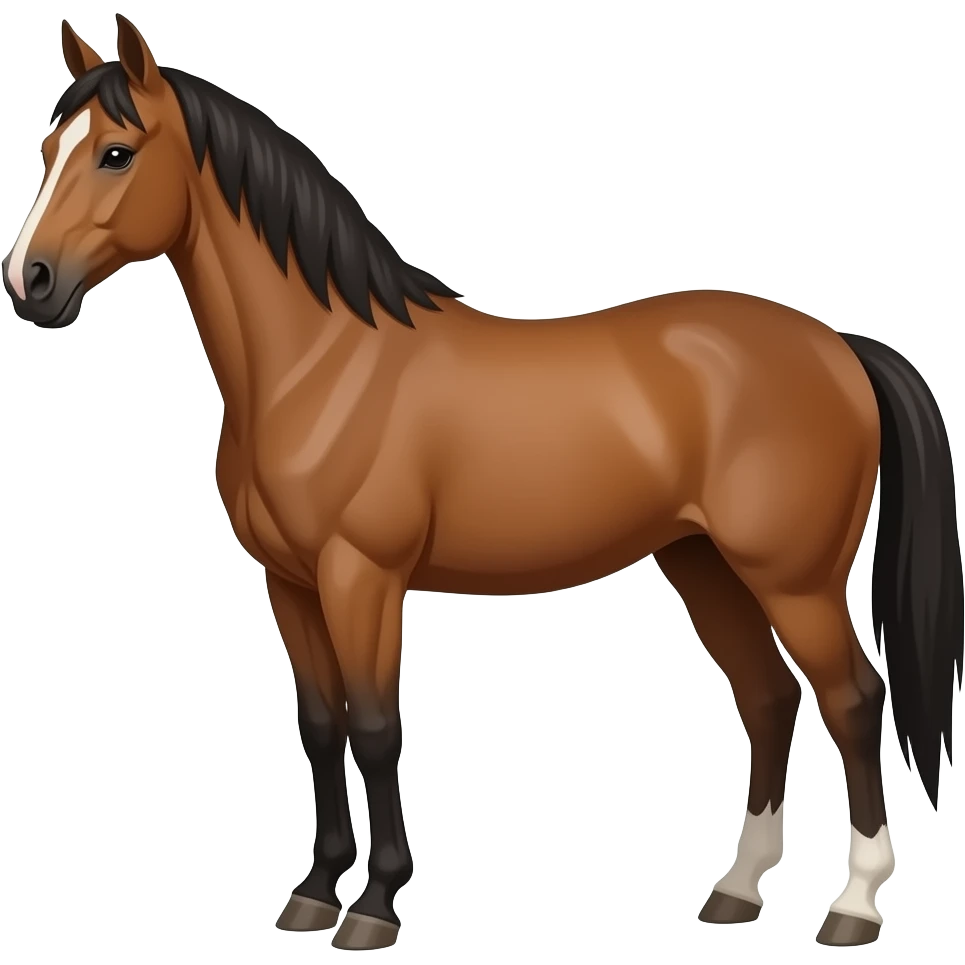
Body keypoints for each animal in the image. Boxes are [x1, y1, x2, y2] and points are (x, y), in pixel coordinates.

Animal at [4, 15, 961, 951]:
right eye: (46, 151)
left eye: (116, 152)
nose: (29, 282)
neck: (321, 362)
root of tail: (839, 347)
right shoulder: (290, 582)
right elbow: (318, 726)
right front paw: (313, 892)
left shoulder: (361, 576)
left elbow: (373, 726)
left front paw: (375, 904)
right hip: (704, 564)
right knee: (767, 698)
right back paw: (733, 889)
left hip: (792, 579)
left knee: (851, 699)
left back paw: (852, 905)